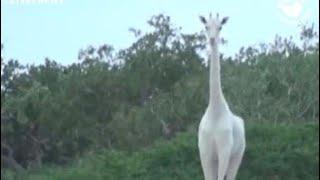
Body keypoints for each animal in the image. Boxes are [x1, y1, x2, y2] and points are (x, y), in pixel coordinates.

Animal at [196, 13, 246, 180]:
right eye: (206, 26)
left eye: (220, 27)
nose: (212, 39)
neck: (215, 110)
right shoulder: (205, 153)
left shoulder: (225, 151)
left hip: (237, 156)